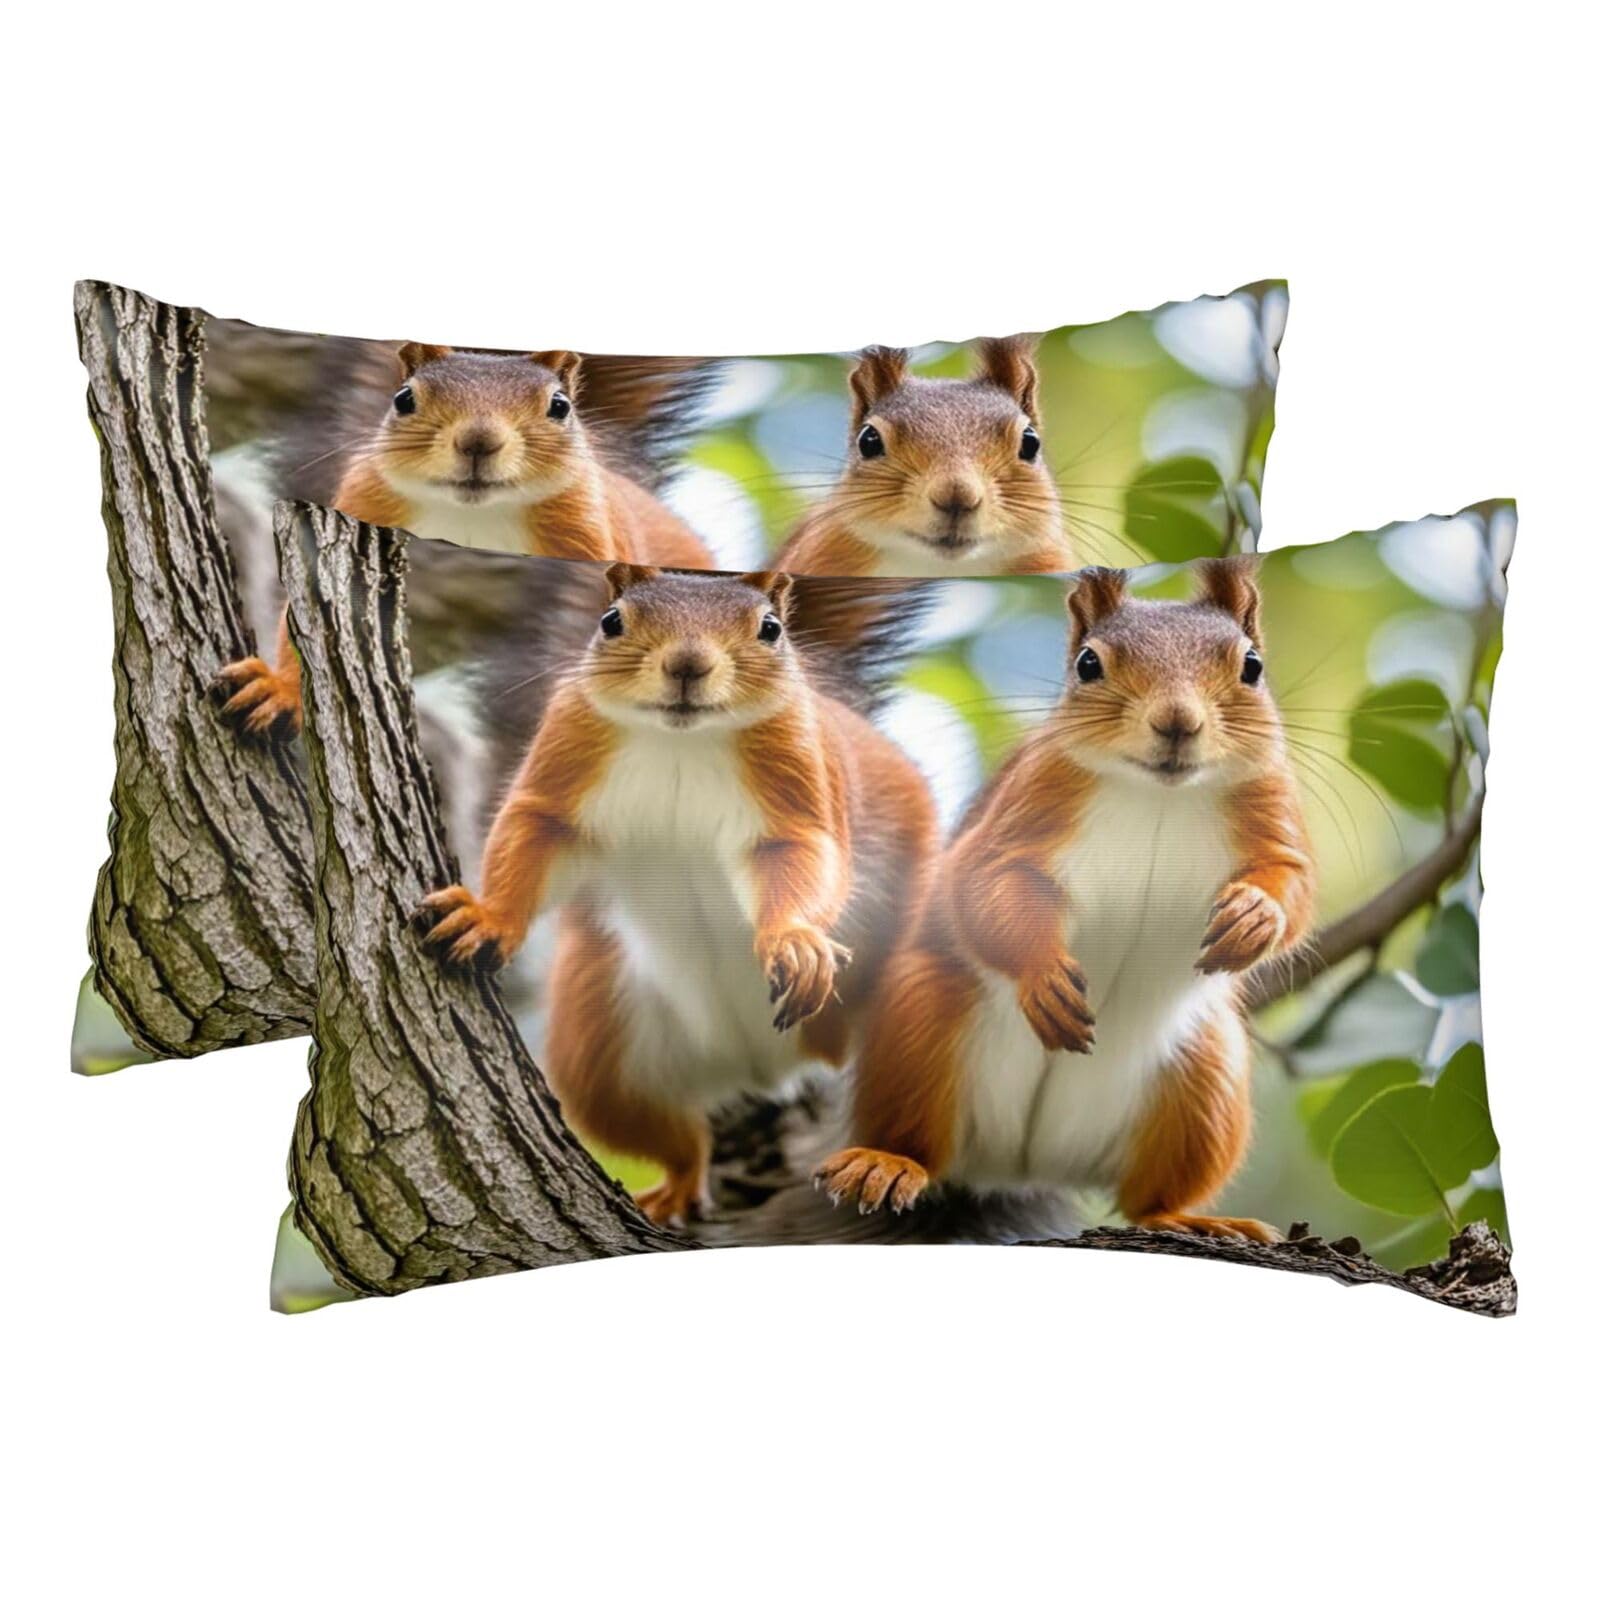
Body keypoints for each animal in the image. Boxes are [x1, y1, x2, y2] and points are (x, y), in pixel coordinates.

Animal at [416, 564, 938, 1226]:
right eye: (611, 621)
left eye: (771, 629)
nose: (688, 664)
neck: (681, 741)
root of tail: (766, 1066)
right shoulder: (570, 742)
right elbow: (535, 830)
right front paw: (488, 917)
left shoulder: (797, 767)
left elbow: (804, 854)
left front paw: (794, 940)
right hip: (604, 1052)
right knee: (670, 1133)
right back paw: (678, 1187)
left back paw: (885, 1161)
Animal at [815, 560, 1315, 1242]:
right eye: (1088, 663)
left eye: (1253, 666)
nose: (1178, 722)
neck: (1158, 795)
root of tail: (1023, 1165)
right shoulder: (1027, 804)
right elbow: (985, 885)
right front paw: (1043, 975)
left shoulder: (1270, 804)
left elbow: (1294, 882)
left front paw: (1257, 916)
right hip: (920, 1024)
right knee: (919, 1138)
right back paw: (886, 1161)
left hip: (1204, 1082)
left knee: (1147, 1200)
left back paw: (1189, 1217)